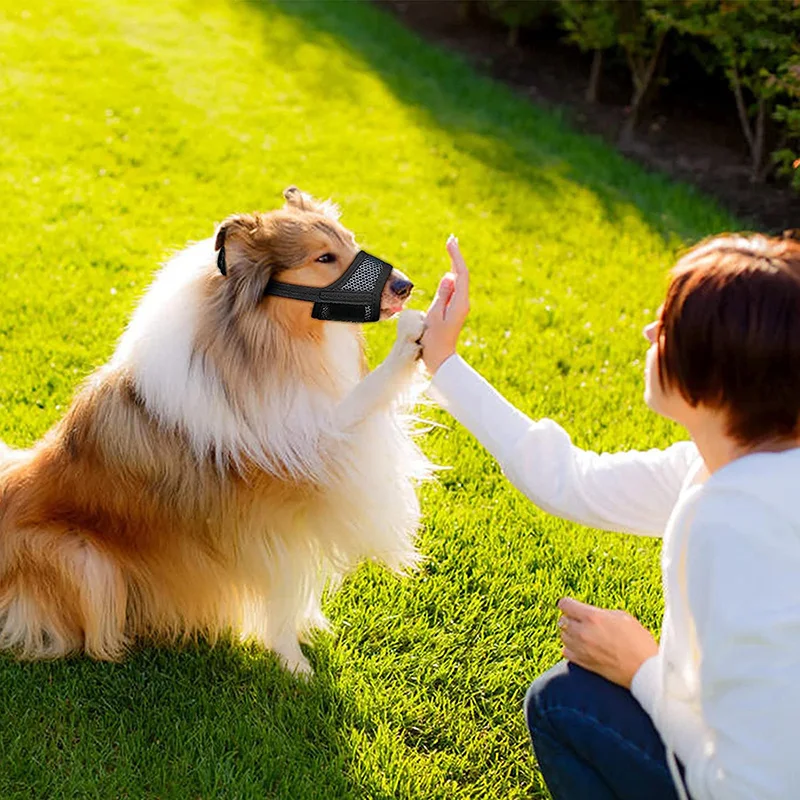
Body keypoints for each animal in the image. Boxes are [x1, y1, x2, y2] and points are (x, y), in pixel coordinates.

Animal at [0, 184, 432, 672]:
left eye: (351, 242)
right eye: (324, 258)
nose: (406, 287)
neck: (263, 344)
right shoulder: (297, 470)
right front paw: (295, 667)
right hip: (88, 563)